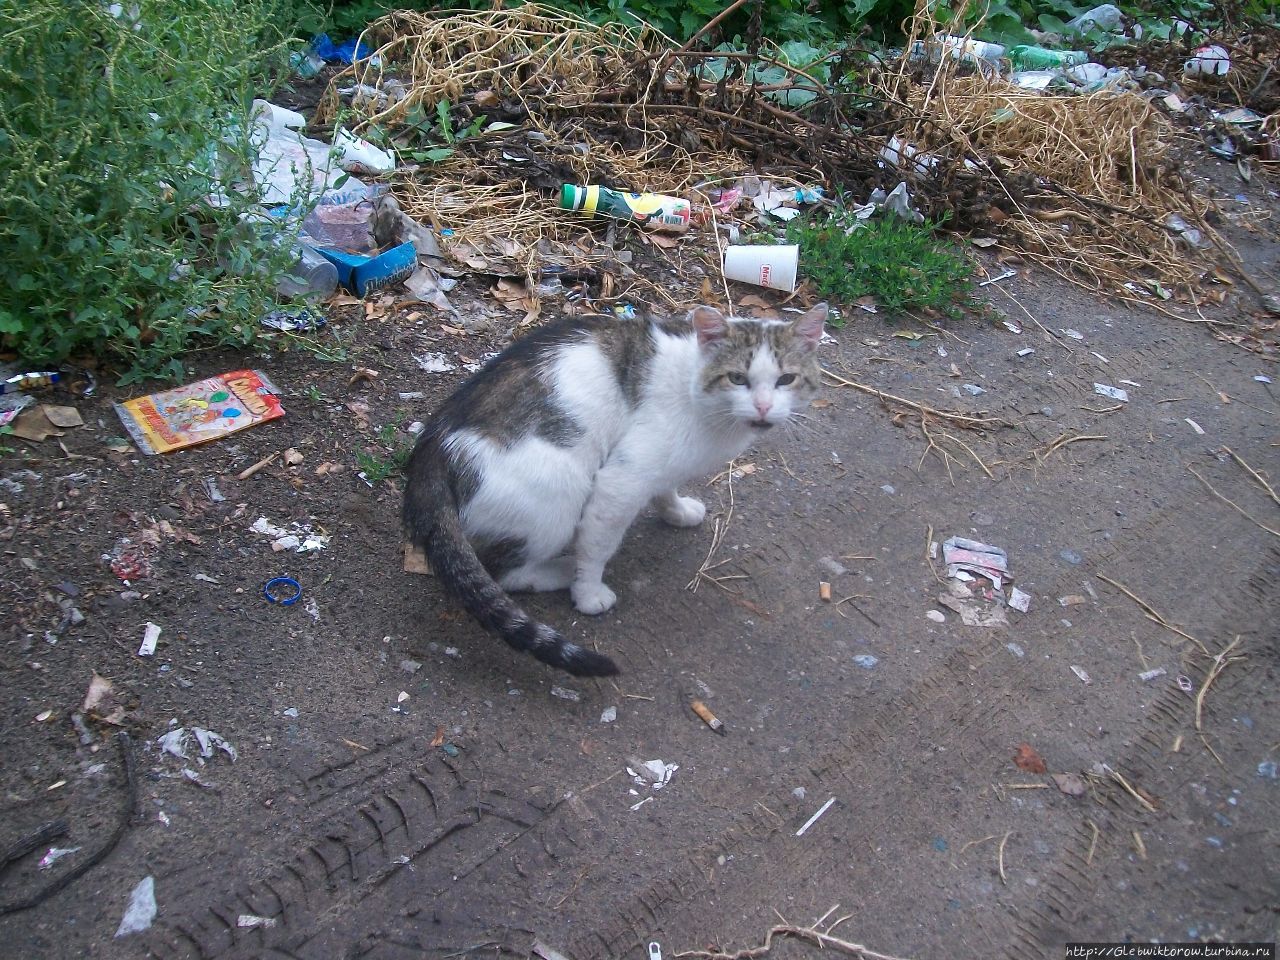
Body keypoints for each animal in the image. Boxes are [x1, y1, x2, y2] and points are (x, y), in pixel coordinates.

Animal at [401, 300, 829, 675]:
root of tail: (432, 448)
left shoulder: (660, 466)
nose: (762, 407)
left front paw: (676, 510)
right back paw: (565, 569)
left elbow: (666, 487)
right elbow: (598, 547)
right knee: (504, 572)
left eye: (786, 379)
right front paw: (589, 593)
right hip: (561, 493)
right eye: (738, 378)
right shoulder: (622, 480)